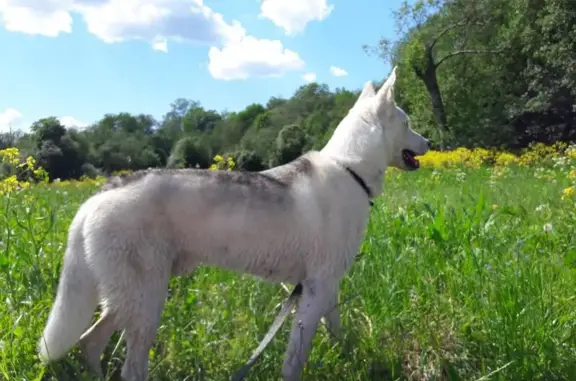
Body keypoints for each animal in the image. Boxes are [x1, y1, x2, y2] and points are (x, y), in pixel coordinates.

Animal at [38, 66, 428, 380]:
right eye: (408, 123)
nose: (428, 141)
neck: (350, 169)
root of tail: (97, 195)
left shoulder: (324, 287)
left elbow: (337, 333)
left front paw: (351, 358)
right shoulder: (315, 290)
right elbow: (294, 361)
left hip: (128, 300)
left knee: (89, 342)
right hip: (147, 302)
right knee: (128, 367)